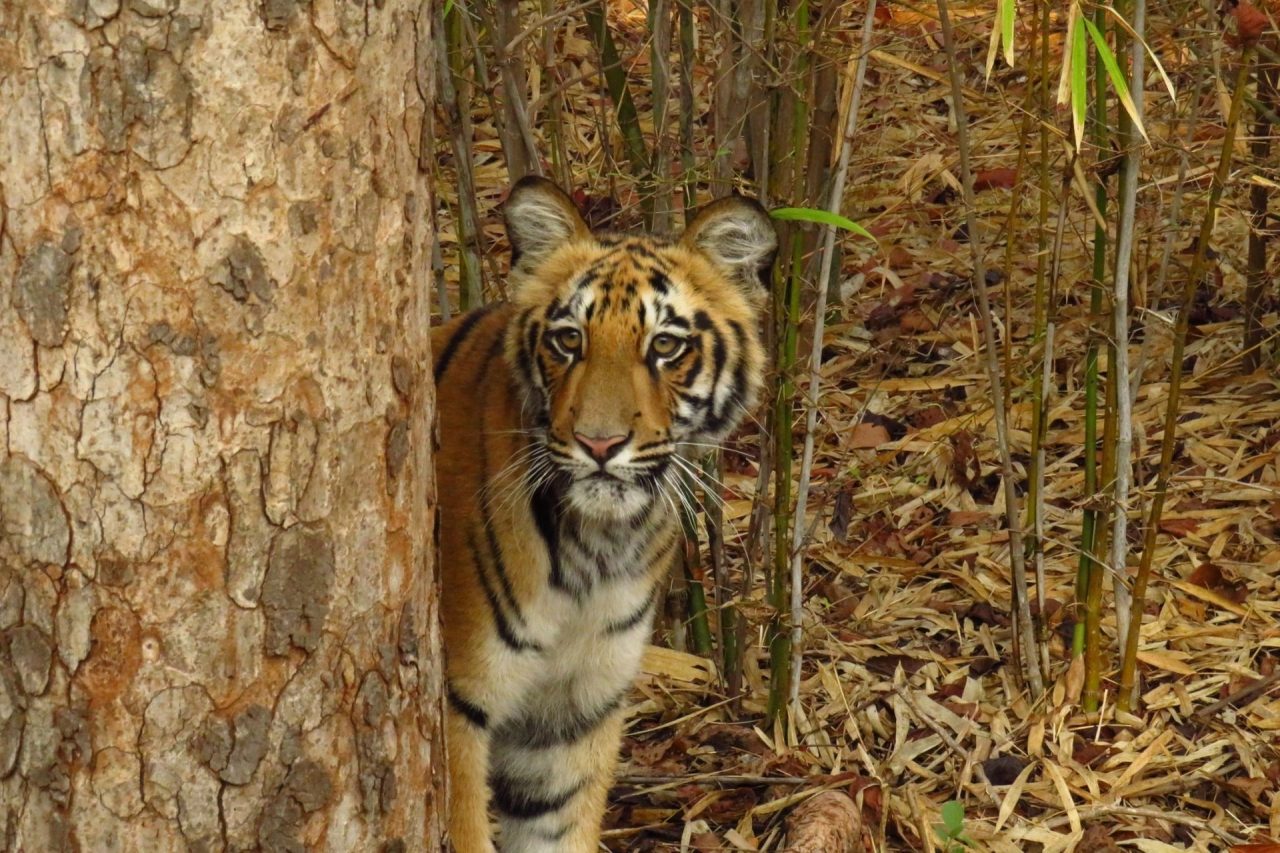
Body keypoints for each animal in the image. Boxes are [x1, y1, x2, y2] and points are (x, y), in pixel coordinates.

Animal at [430, 175, 773, 845]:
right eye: (570, 339)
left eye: (665, 345)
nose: (599, 444)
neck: (597, 549)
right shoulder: (458, 705)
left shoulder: (571, 715)